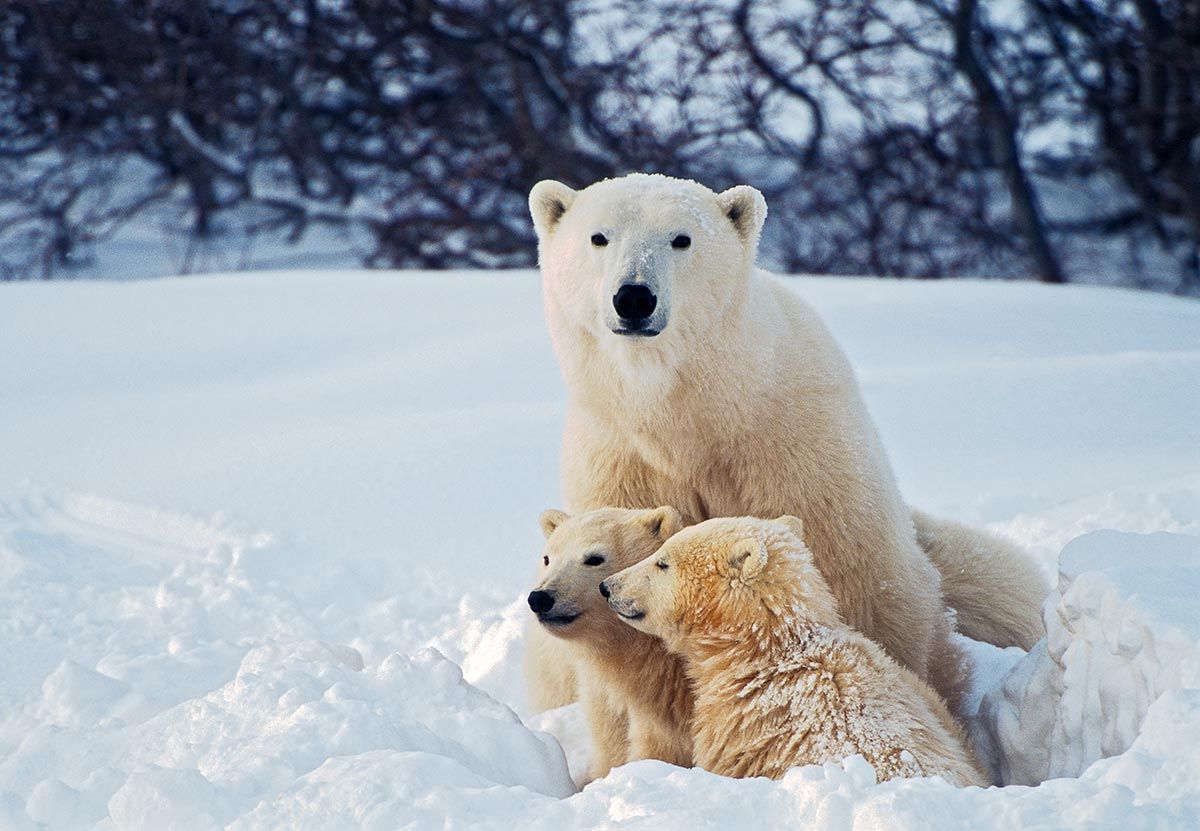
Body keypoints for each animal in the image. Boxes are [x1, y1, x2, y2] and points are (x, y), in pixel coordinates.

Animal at [525, 172, 1046, 713]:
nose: (633, 297)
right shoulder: (620, 458)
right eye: (599, 237)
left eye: (681, 239)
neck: (691, 414)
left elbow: (855, 576)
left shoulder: (791, 443)